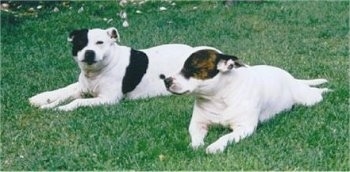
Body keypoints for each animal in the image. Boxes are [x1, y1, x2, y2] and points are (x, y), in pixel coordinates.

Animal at [29, 26, 198, 110]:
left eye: (100, 42)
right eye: (80, 43)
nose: (89, 53)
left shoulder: (107, 99)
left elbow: (76, 102)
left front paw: (62, 108)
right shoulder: (82, 88)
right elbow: (64, 92)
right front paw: (45, 102)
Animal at [161, 48, 328, 155]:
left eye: (191, 69)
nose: (166, 81)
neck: (219, 98)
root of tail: (291, 78)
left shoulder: (244, 128)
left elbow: (225, 137)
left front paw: (215, 146)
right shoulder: (198, 124)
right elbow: (195, 137)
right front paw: (195, 145)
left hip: (308, 99)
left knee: (317, 94)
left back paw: (326, 90)